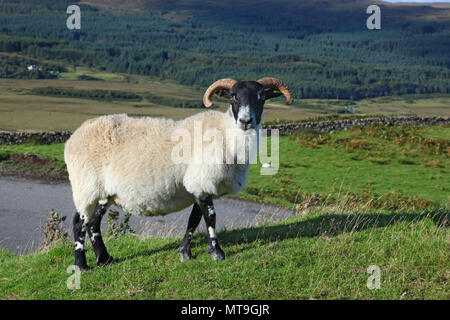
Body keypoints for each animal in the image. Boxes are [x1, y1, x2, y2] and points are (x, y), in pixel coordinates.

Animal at [65, 77, 294, 270]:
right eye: (233, 97)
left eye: (261, 97)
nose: (246, 121)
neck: (226, 136)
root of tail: (73, 138)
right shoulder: (202, 182)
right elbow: (210, 217)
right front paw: (217, 253)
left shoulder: (197, 187)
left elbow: (194, 220)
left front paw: (185, 253)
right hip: (86, 186)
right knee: (79, 223)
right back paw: (82, 265)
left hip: (104, 192)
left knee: (93, 223)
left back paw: (105, 259)